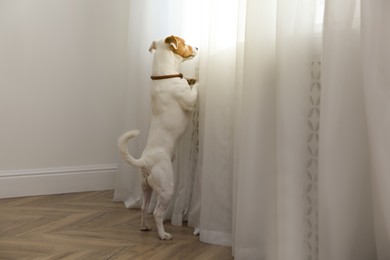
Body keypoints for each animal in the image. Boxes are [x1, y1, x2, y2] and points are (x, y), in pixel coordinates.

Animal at [117, 35, 198, 241]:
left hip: (146, 188)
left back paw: (144, 227)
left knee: (144, 208)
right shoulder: (189, 101)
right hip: (167, 186)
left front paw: (190, 78)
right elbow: (195, 91)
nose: (197, 47)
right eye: (185, 42)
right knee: (157, 213)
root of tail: (145, 160)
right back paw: (163, 234)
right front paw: (195, 80)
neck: (166, 76)